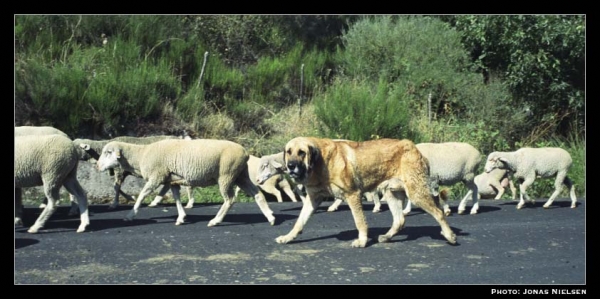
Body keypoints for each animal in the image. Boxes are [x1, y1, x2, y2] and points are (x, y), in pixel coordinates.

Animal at [96, 139, 276, 226]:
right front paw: (181, 217)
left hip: (226, 175)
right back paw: (270, 217)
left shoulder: (156, 176)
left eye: (108, 152)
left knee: (230, 199)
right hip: (240, 175)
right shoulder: (172, 180)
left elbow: (141, 196)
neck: (141, 155)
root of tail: (245, 152)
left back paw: (215, 221)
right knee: (257, 194)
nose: (97, 166)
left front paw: (130, 215)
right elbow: (176, 199)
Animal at [278, 138, 458, 248]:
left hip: (416, 193)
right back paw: (386, 237)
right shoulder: (313, 199)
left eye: (302, 152)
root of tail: (414, 149)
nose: (291, 166)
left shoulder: (353, 195)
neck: (321, 162)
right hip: (391, 194)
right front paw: (288, 237)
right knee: (400, 220)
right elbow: (299, 221)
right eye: (289, 151)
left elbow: (360, 221)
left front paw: (362, 241)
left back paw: (450, 236)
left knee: (439, 212)